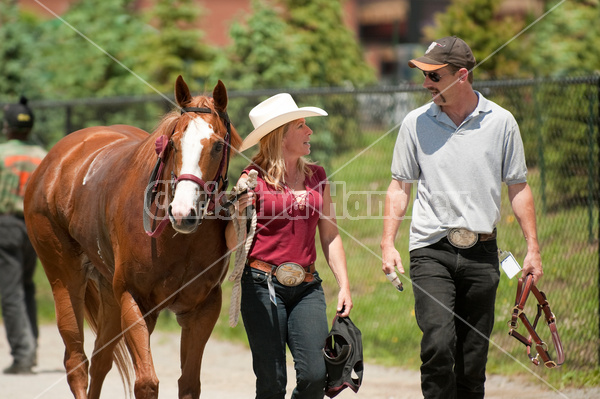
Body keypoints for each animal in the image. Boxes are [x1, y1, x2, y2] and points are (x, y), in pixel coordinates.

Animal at [23, 76, 243, 398]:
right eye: (173, 143)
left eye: (217, 145)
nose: (183, 212)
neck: (176, 241)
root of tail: (54, 162)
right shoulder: (134, 301)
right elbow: (147, 383)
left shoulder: (202, 309)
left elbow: (189, 384)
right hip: (64, 278)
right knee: (76, 363)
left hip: (108, 292)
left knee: (100, 359)